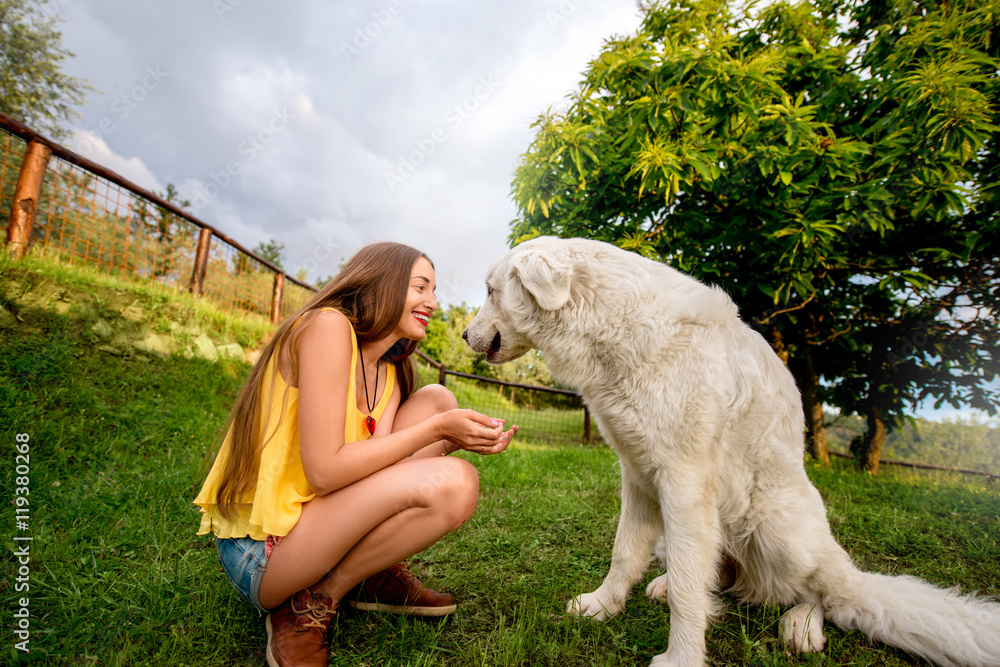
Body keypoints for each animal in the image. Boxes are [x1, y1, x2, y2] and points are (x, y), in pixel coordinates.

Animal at [464, 239, 1000, 667]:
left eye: (491, 291)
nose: (467, 336)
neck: (613, 326)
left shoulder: (682, 481)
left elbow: (688, 590)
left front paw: (680, 658)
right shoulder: (637, 476)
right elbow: (626, 555)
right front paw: (602, 606)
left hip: (778, 532)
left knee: (822, 593)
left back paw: (801, 626)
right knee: (713, 572)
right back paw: (666, 586)